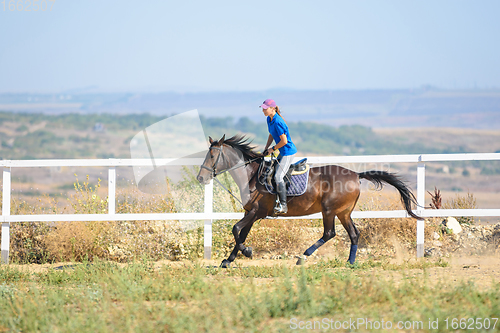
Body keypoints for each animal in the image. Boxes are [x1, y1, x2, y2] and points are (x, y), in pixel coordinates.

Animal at [195, 134, 422, 266]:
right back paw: (350, 262)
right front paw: (229, 260)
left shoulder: (256, 212)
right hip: (343, 212)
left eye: (213, 156)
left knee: (329, 233)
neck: (251, 175)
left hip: (329, 210)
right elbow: (241, 233)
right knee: (354, 234)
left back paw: (303, 256)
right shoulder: (250, 213)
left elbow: (236, 230)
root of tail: (356, 175)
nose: (201, 178)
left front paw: (247, 252)